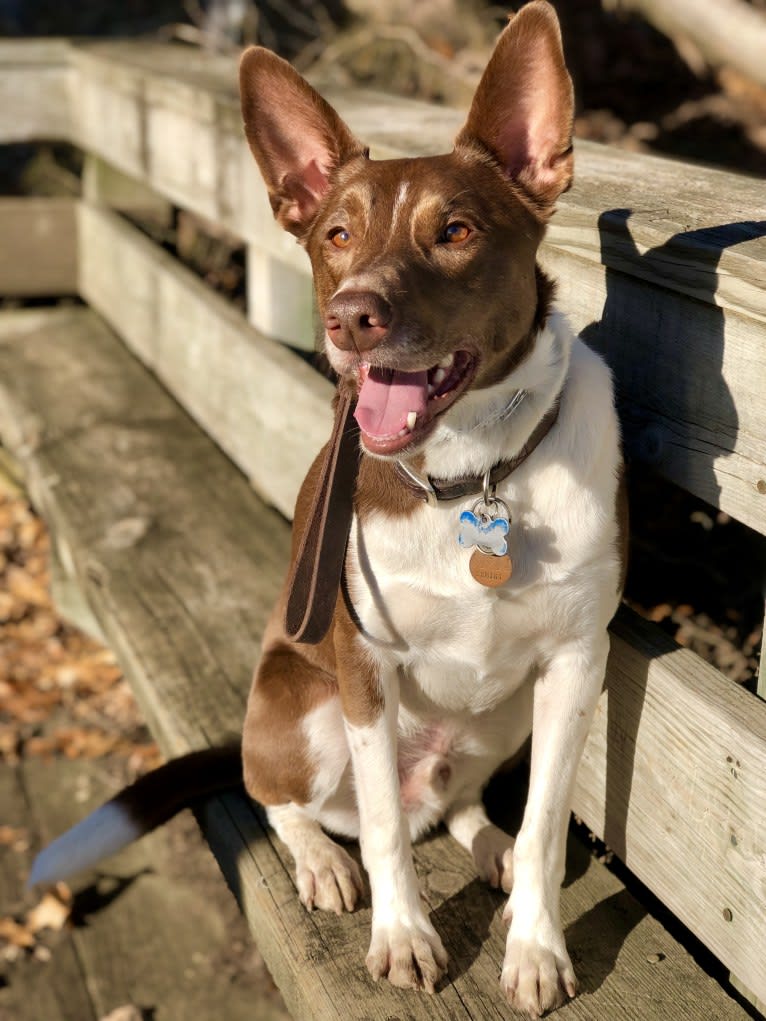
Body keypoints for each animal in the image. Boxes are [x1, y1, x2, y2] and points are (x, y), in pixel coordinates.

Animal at [32, 5, 625, 1012]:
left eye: (456, 229)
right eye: (337, 234)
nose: (353, 316)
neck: (470, 474)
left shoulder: (575, 663)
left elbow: (548, 822)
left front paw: (537, 944)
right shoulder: (362, 662)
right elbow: (382, 825)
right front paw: (404, 934)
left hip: (500, 719)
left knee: (452, 804)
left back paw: (489, 845)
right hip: (301, 704)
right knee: (291, 800)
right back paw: (319, 858)